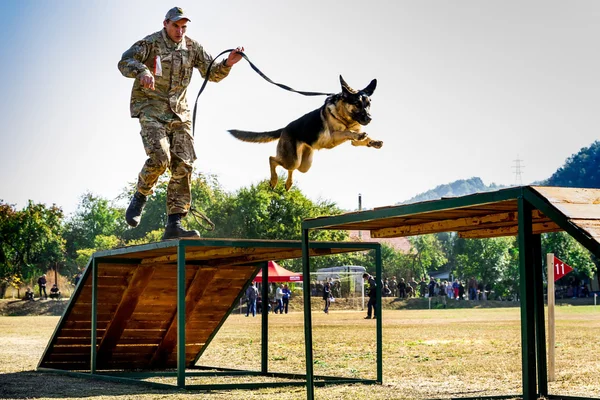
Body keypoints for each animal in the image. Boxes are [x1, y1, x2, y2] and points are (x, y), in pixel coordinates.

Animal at [227, 77, 382, 192]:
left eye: (368, 104)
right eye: (357, 104)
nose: (369, 118)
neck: (346, 117)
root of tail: (284, 129)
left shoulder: (354, 139)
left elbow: (361, 137)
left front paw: (373, 141)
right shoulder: (333, 135)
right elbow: (347, 132)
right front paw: (358, 135)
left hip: (303, 164)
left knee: (291, 168)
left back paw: (288, 184)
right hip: (292, 159)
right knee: (272, 159)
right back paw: (274, 180)